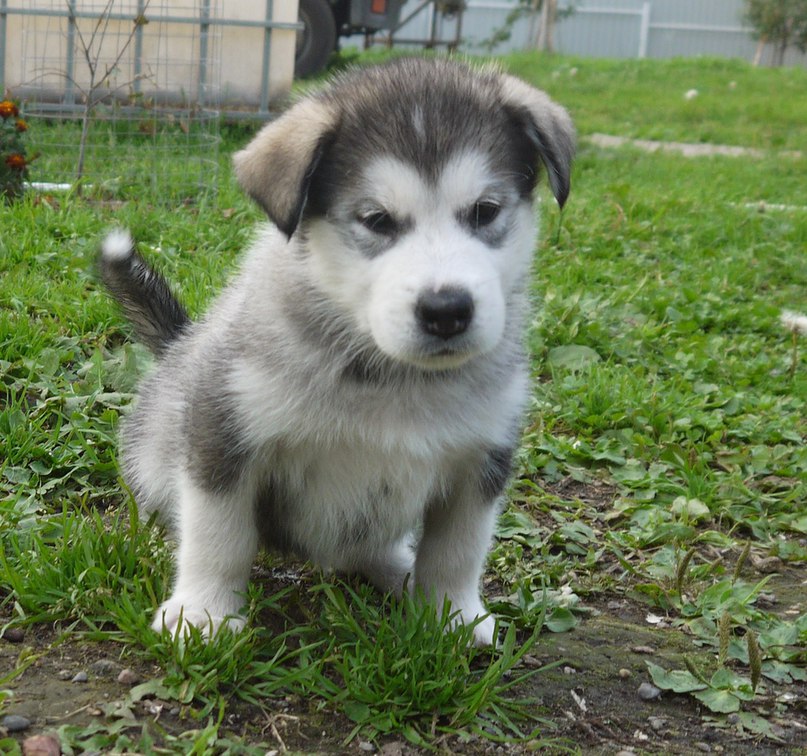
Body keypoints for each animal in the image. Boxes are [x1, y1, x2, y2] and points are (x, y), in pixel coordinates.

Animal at [102, 57, 576, 644]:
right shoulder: (224, 431)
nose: (447, 310)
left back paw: (399, 571)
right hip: (155, 448)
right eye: (377, 220)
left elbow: (459, 549)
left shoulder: (482, 458)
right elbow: (218, 533)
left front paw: (454, 616)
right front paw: (203, 612)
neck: (396, 381)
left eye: (485, 211)